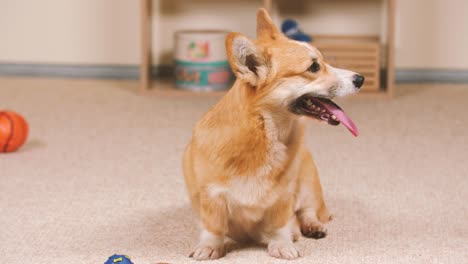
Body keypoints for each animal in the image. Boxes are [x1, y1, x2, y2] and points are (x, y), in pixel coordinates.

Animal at [182, 8, 362, 260]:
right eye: (313, 67)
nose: (361, 79)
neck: (265, 135)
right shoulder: (212, 197)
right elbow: (214, 228)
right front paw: (209, 247)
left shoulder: (283, 197)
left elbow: (279, 225)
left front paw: (282, 245)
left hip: (307, 182)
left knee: (307, 211)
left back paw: (312, 227)